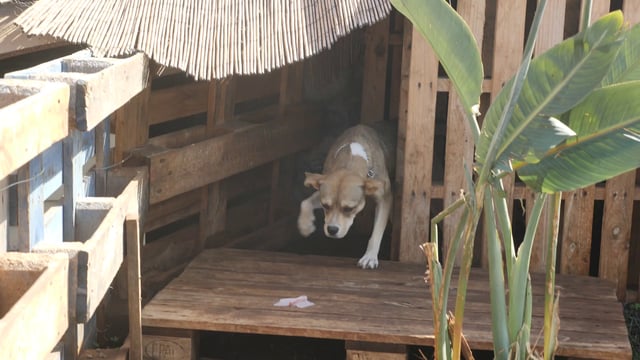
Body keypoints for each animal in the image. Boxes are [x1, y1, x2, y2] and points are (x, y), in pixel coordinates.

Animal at [298, 124, 392, 268]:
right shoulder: (322, 189)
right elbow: (305, 202)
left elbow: (377, 231)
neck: (351, 160)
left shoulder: (385, 199)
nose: (332, 230)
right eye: (325, 206)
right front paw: (305, 225)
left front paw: (370, 257)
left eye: (349, 208)